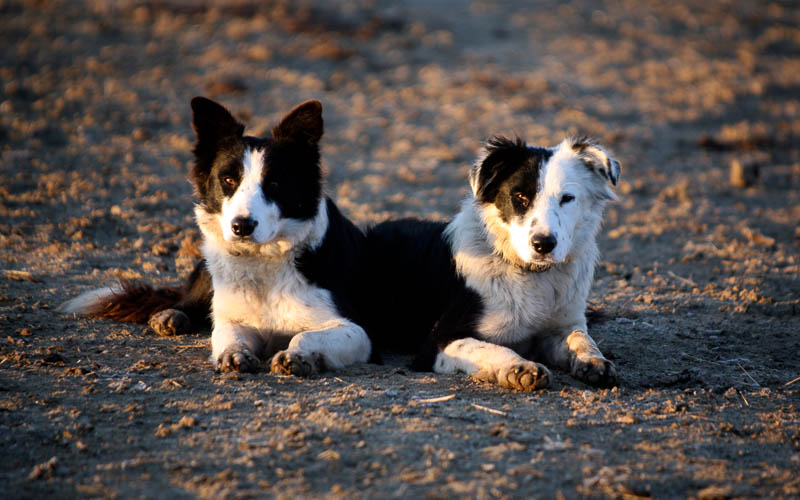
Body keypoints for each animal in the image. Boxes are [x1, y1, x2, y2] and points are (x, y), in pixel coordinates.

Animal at [61, 97, 372, 376]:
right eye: (228, 180)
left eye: (274, 184)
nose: (242, 226)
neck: (262, 261)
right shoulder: (234, 317)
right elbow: (227, 333)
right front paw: (234, 354)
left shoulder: (357, 331)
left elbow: (305, 334)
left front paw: (296, 355)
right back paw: (171, 314)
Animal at [366, 135, 620, 388]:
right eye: (520, 197)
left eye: (567, 199)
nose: (544, 244)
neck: (532, 273)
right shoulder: (438, 341)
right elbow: (488, 348)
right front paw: (520, 367)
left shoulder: (561, 326)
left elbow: (581, 338)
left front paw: (594, 360)